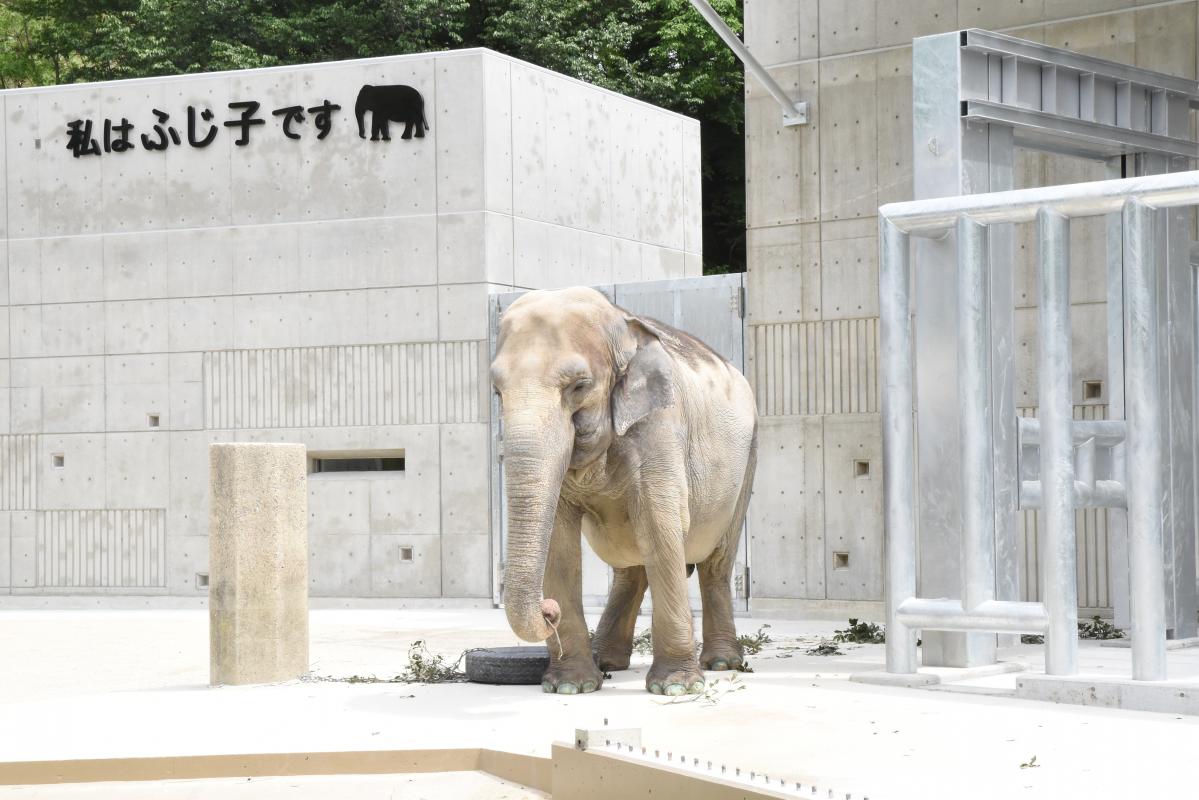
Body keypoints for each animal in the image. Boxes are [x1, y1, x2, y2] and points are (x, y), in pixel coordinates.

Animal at [489, 287, 757, 695]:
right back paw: (606, 660)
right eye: (497, 392)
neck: (622, 324)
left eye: (579, 386)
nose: (549, 610)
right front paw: (570, 686)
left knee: (716, 563)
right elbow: (559, 541)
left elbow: (660, 526)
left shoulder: (660, 425)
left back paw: (722, 662)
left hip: (747, 461)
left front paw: (676, 688)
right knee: (631, 569)